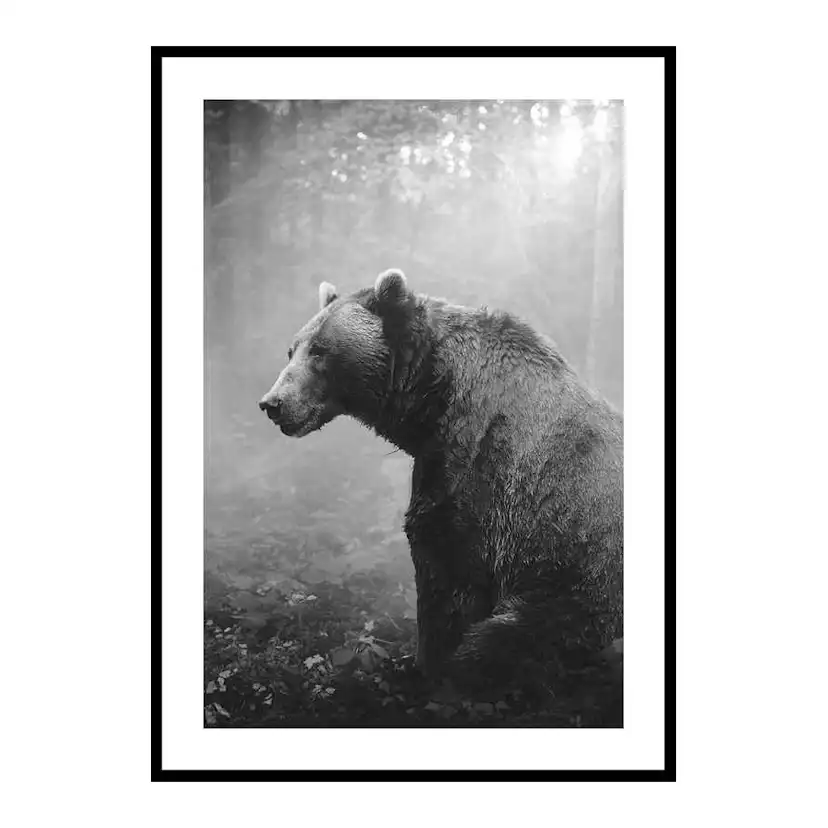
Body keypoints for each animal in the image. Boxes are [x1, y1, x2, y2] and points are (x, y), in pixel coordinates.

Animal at [259, 269, 623, 712]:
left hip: (583, 583)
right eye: (291, 349)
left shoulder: (482, 468)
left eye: (320, 351)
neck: (430, 401)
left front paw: (425, 671)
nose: (273, 403)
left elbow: (447, 570)